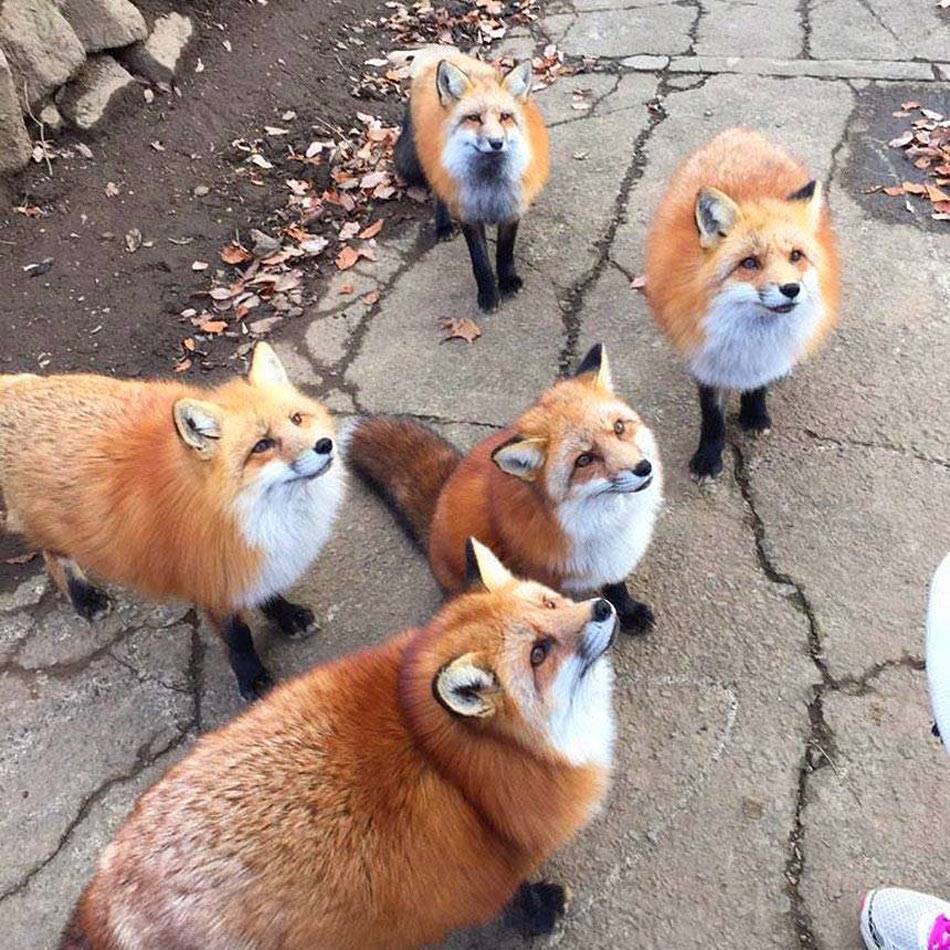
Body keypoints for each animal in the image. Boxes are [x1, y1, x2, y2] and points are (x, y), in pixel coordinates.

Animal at [0, 343, 344, 700]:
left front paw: (288, 616)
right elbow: (238, 638)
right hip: (55, 527)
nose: (324, 445)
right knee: (53, 556)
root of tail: (20, 386)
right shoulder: (212, 579)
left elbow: (269, 595)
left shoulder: (254, 563)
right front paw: (253, 680)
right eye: (261, 445)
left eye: (297, 418)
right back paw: (84, 598)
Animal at [61, 538, 617, 950]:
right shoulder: (488, 867)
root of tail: (101, 899)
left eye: (549, 602)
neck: (449, 760)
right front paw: (541, 911)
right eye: (539, 653)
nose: (604, 606)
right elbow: (514, 899)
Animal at [348, 343, 662, 633]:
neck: (601, 522)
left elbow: (616, 587)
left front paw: (628, 612)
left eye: (619, 428)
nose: (643, 468)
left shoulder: (613, 557)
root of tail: (439, 502)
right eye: (584, 460)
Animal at [391, 45, 550, 312]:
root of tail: (439, 52)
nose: (496, 142)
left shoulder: (512, 207)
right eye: (474, 118)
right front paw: (488, 296)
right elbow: (481, 262)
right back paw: (443, 225)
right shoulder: (468, 211)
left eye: (505, 116)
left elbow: (505, 252)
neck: (490, 184)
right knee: (439, 193)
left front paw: (507, 281)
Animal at [644, 127, 841, 479]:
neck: (752, 337)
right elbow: (712, 417)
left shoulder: (764, 357)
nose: (791, 289)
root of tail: (741, 132)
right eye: (750, 263)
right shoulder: (705, 355)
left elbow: (759, 386)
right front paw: (709, 457)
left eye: (796, 256)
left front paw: (755, 414)